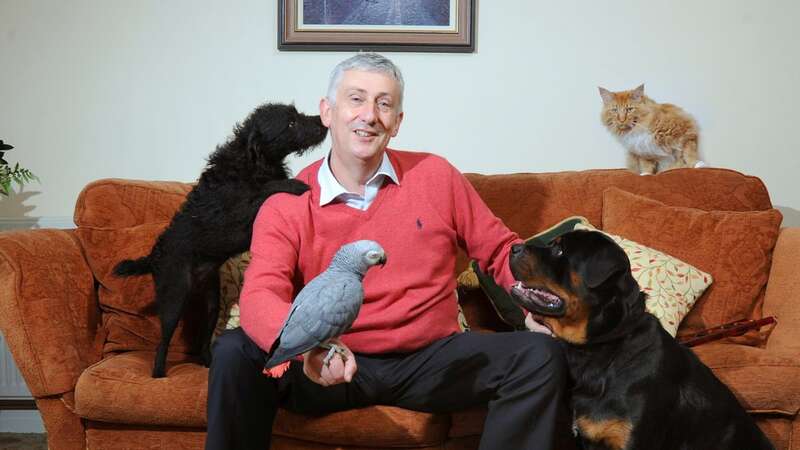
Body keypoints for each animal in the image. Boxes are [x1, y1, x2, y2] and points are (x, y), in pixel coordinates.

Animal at [114, 102, 326, 376]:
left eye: (297, 114)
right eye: (290, 123)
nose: (323, 123)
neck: (251, 161)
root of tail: (153, 256)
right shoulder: (238, 217)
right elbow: (267, 190)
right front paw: (295, 184)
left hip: (211, 302)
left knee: (204, 340)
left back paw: (208, 362)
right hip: (174, 297)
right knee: (163, 341)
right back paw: (158, 372)